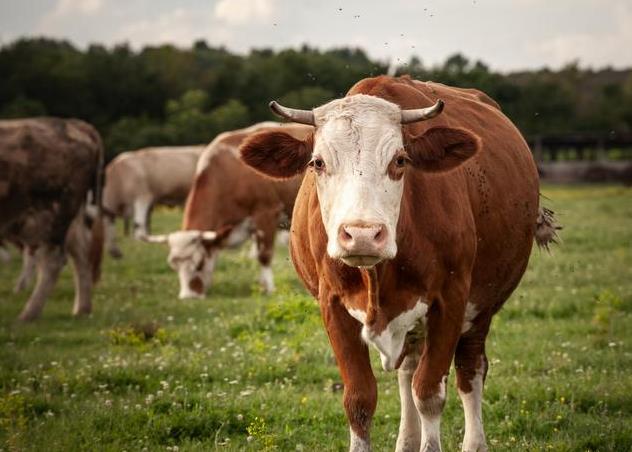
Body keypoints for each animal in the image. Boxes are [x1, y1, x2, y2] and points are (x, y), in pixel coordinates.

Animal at [0, 116, 103, 322]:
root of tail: (73, 123)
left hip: (52, 212)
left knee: (53, 260)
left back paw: (28, 314)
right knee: (79, 254)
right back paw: (82, 309)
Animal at [143, 122, 312, 300]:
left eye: (199, 264)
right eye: (173, 265)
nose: (189, 297)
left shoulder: (266, 213)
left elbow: (263, 255)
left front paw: (270, 289)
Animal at [238, 75, 556, 452]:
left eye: (400, 160)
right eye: (317, 163)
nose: (362, 234)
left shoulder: (450, 301)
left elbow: (430, 393)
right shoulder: (332, 306)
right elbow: (360, 399)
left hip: (482, 306)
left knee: (470, 371)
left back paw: (474, 442)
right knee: (408, 370)